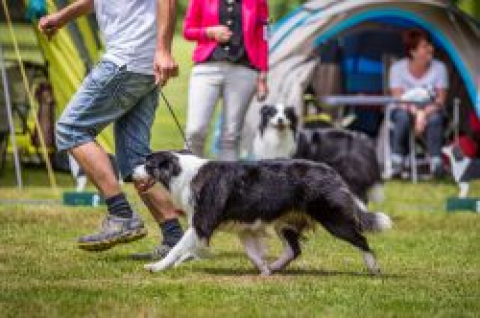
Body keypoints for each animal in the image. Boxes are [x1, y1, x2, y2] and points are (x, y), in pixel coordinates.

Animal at [135, 150, 390, 274]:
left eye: (148, 165)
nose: (129, 173)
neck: (181, 173)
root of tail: (331, 171)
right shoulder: (244, 228)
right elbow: (252, 253)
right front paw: (264, 269)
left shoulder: (202, 222)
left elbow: (178, 247)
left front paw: (157, 267)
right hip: (284, 223)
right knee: (294, 250)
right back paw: (276, 267)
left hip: (333, 218)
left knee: (361, 239)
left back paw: (374, 267)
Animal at [251, 104, 382, 204]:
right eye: (272, 113)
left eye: (287, 114)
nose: (280, 119)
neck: (278, 138)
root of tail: (366, 141)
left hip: (351, 173)